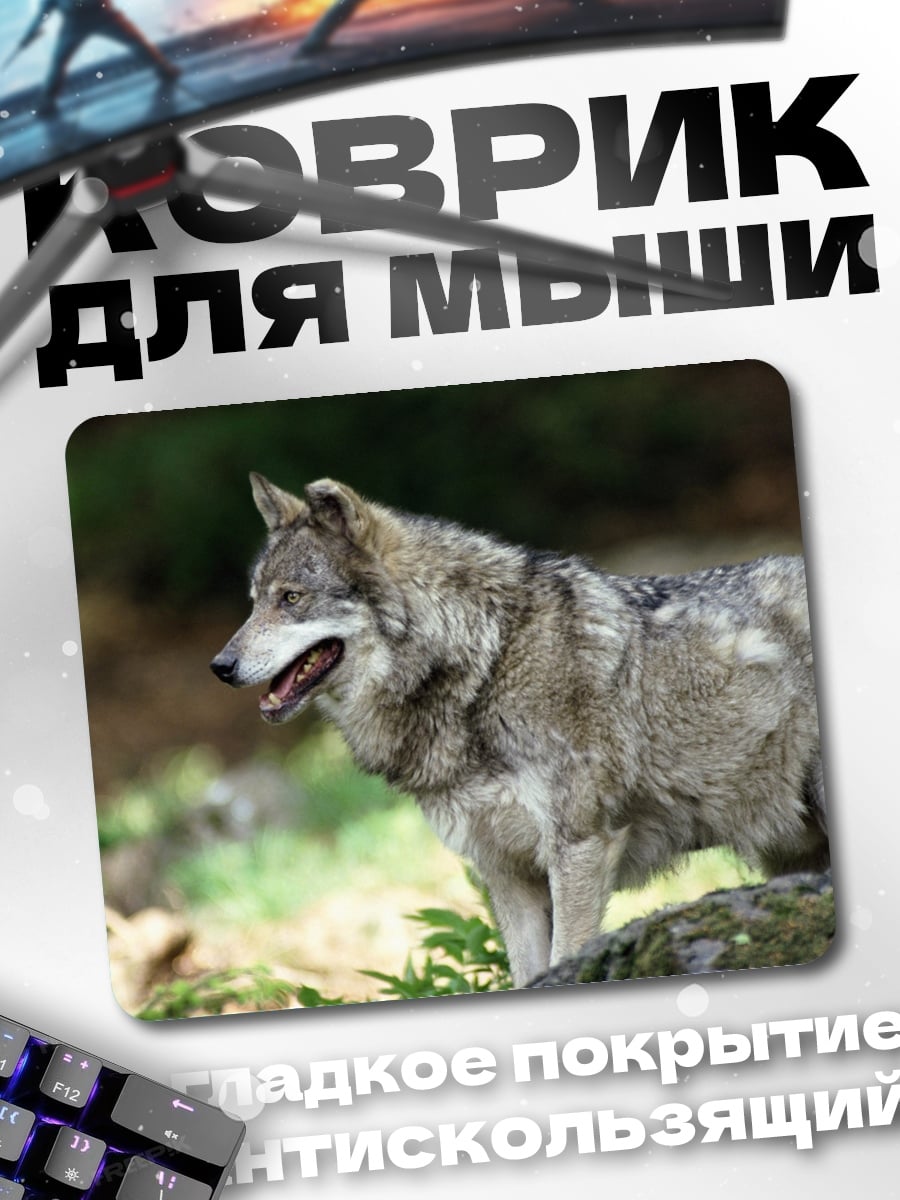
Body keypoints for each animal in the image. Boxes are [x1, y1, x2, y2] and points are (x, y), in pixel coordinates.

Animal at [210, 474, 828, 987]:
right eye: (254, 603)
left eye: (291, 598)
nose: (220, 666)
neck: (486, 662)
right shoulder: (506, 872)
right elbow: (526, 973)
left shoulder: (579, 847)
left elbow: (562, 960)